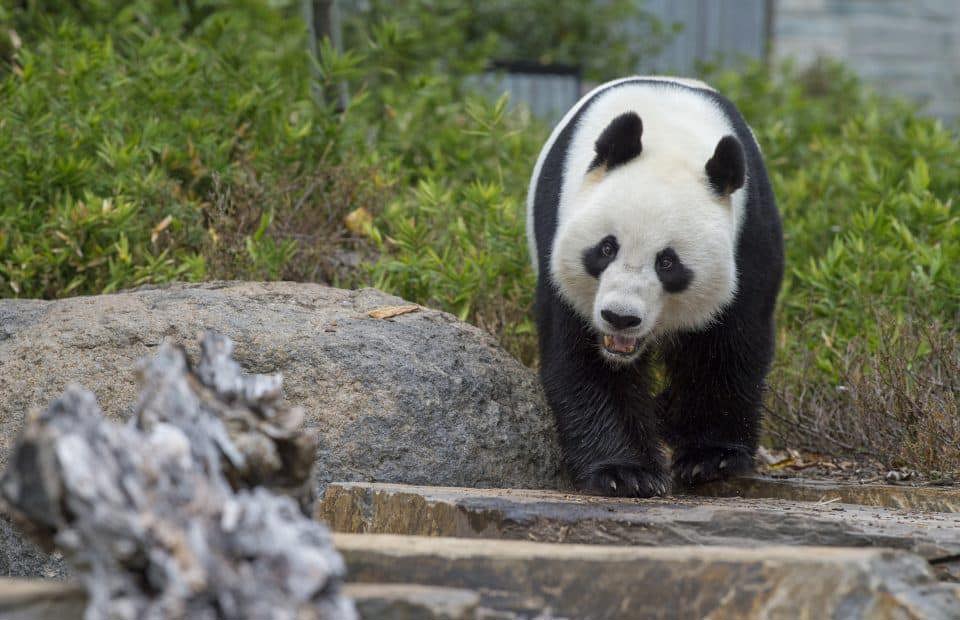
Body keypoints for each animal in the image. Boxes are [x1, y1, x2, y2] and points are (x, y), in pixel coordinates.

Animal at [527, 76, 784, 497]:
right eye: (606, 248)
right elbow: (583, 356)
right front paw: (624, 472)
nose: (620, 317)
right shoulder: (560, 233)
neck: (669, 137)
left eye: (667, 263)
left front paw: (712, 458)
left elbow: (727, 343)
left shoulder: (749, 235)